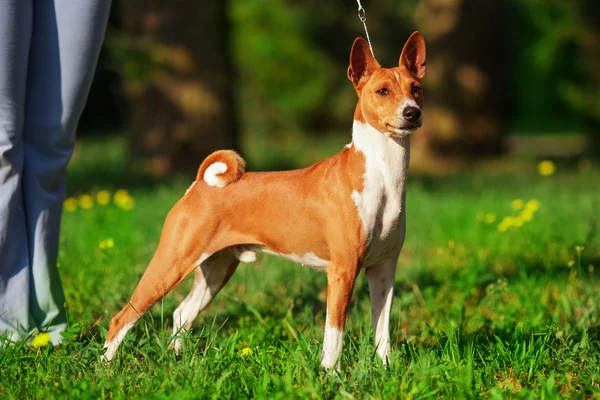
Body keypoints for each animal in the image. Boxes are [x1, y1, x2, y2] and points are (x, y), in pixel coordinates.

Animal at [103, 31, 424, 368]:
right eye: (382, 91)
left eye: (416, 88)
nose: (412, 112)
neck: (383, 176)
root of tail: (199, 185)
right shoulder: (342, 271)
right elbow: (334, 336)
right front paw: (331, 374)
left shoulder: (383, 269)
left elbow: (383, 332)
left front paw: (386, 370)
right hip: (171, 264)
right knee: (122, 318)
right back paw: (106, 369)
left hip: (216, 270)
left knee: (180, 314)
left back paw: (179, 361)